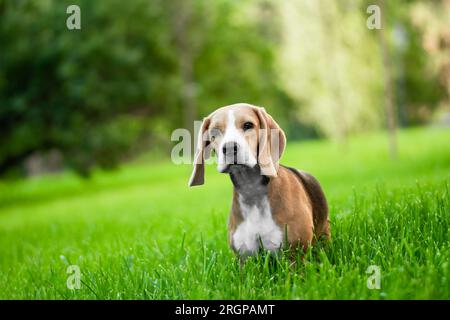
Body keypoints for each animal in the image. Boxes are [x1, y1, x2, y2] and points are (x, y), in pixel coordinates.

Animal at [188, 104, 328, 256]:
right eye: (214, 132)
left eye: (248, 125)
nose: (230, 148)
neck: (251, 189)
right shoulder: (245, 256)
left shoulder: (295, 253)